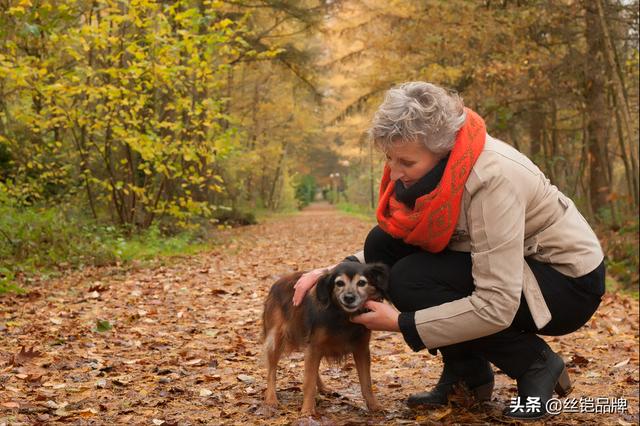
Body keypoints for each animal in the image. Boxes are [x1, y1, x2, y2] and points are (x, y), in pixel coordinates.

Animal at [262, 262, 390, 414]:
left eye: (362, 283)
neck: (343, 316)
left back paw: (323, 388)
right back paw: (271, 399)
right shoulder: (314, 346)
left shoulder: (361, 349)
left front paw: (374, 405)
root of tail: (278, 282)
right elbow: (308, 383)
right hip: (276, 338)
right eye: (339, 283)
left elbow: (366, 383)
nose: (349, 297)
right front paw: (307, 410)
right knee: (272, 371)